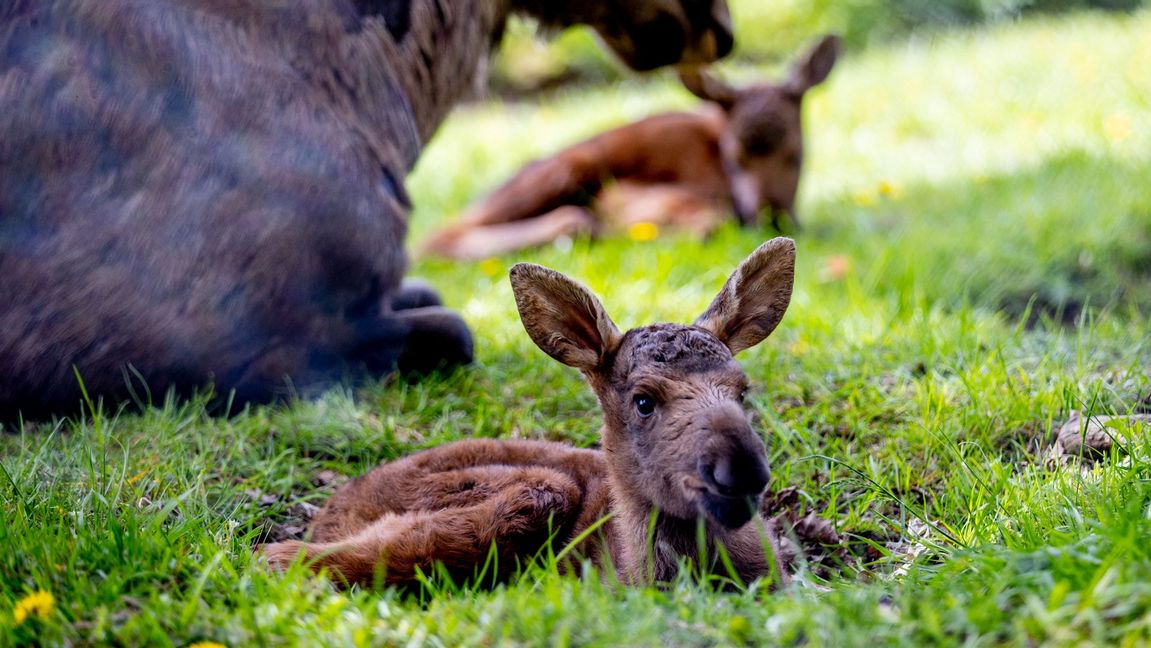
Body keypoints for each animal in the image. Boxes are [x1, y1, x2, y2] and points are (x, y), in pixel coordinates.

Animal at [263, 237, 796, 589]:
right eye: (643, 401)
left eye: (742, 392)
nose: (742, 470)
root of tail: (333, 510)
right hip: (532, 490)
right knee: (279, 553)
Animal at [418, 37, 842, 261]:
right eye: (735, 159)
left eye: (797, 155)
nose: (774, 218)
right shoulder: (635, 190)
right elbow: (708, 218)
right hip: (569, 167)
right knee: (440, 234)